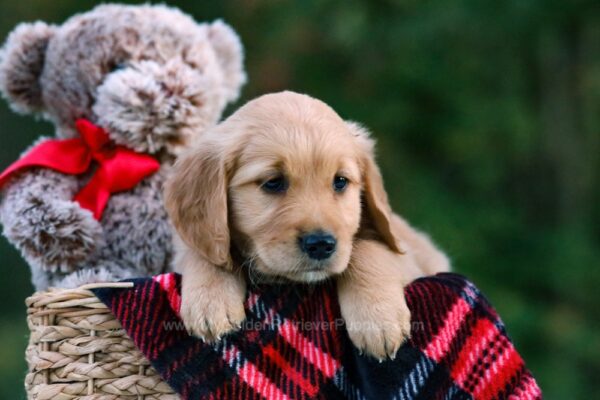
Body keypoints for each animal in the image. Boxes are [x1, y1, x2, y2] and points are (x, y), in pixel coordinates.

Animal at [162, 91, 448, 360]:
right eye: (273, 182)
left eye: (340, 181)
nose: (320, 245)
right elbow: (206, 251)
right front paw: (210, 299)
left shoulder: (411, 259)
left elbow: (367, 249)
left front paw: (378, 318)